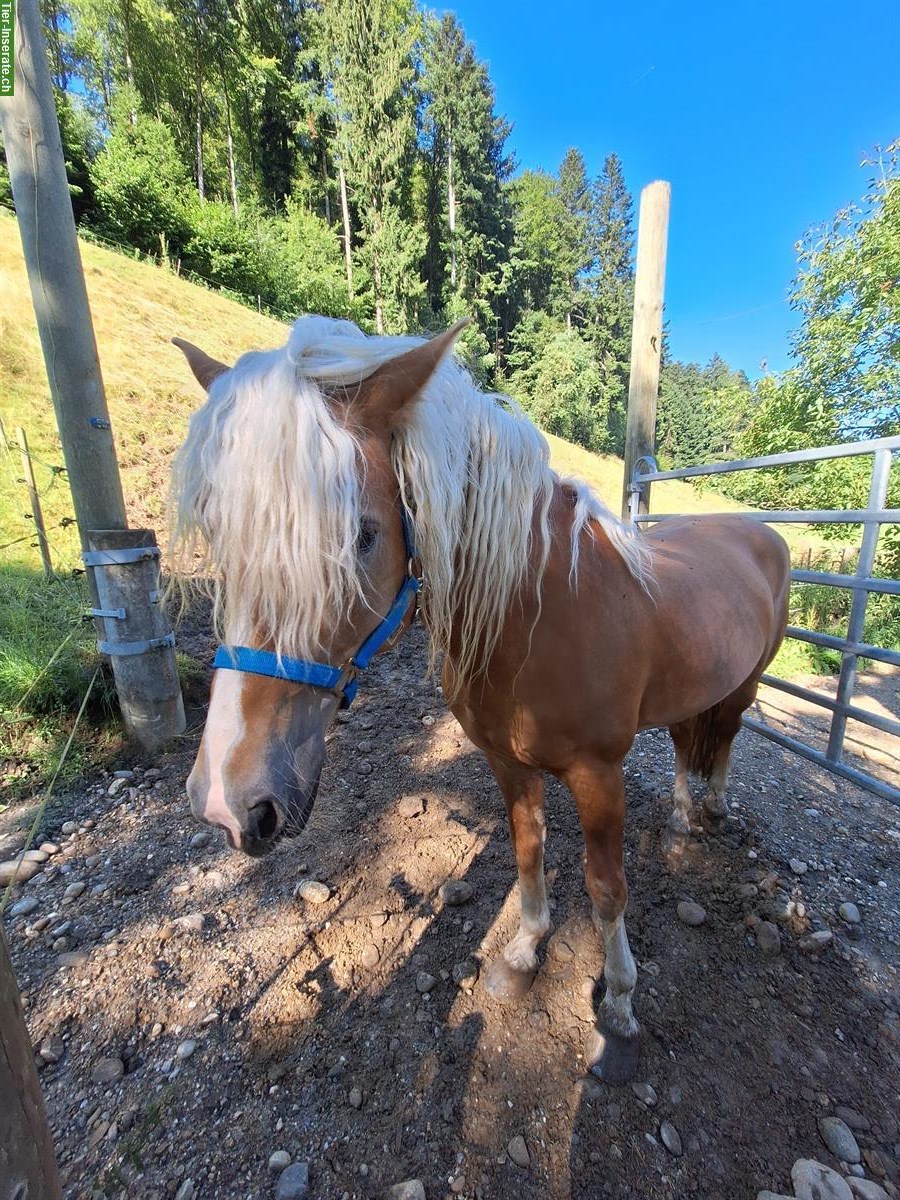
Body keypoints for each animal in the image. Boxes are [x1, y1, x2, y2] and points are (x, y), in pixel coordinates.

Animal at [169, 314, 787, 1084]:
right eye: (218, 532)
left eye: (362, 534)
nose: (228, 802)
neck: (541, 611)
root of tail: (754, 527)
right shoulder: (506, 762)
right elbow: (527, 850)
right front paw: (523, 953)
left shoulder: (599, 774)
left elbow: (606, 887)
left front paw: (617, 1007)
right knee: (684, 743)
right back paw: (679, 816)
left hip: (745, 684)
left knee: (725, 736)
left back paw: (715, 808)